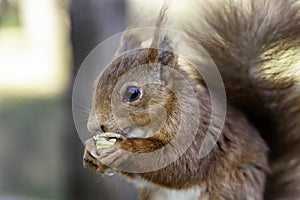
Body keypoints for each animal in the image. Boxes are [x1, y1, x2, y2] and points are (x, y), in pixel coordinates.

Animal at [82, 0, 300, 199]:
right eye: (95, 85)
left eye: (133, 93)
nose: (95, 126)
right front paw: (91, 153)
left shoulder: (194, 130)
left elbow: (177, 163)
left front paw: (120, 149)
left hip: (230, 188)